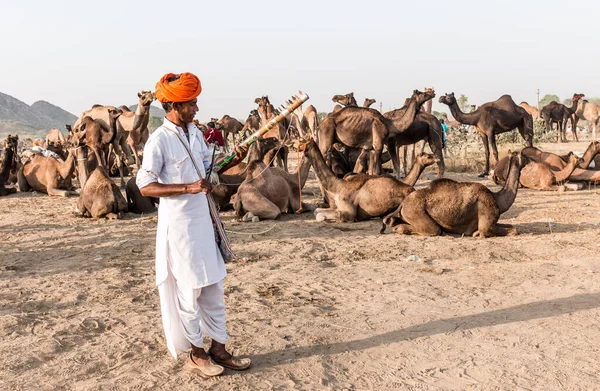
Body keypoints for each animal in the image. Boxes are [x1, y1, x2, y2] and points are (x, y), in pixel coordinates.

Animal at [304, 140, 436, 224]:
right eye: (428, 156)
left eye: (303, 143)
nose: (435, 157)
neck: (338, 186)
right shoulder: (339, 207)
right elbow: (317, 212)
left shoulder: (348, 213)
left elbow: (320, 215)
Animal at [382, 151, 528, 237]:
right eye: (524, 156)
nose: (530, 159)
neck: (498, 199)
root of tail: (403, 204)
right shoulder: (486, 223)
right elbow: (511, 230)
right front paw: (476, 234)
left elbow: (512, 227)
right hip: (415, 211)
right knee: (433, 230)